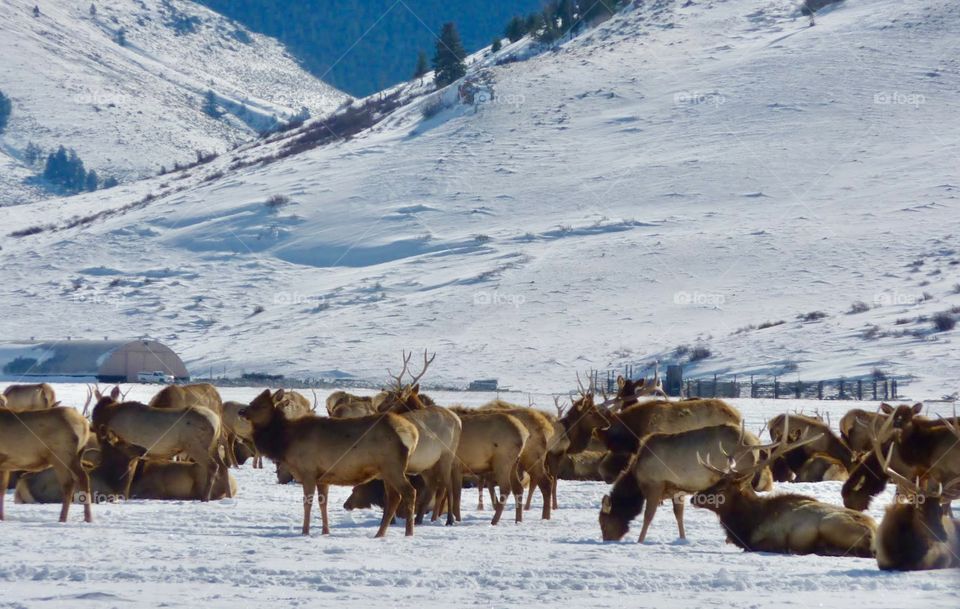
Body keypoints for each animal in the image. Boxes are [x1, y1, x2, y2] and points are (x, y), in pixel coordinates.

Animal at [91, 386, 229, 501]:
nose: (92, 426)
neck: (108, 416)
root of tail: (217, 421)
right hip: (213, 446)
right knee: (223, 467)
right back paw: (227, 494)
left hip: (196, 446)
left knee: (213, 466)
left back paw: (205, 497)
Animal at [240, 388, 420, 537]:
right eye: (253, 400)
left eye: (261, 405)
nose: (241, 411)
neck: (285, 442)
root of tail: (413, 433)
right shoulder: (322, 477)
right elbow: (323, 503)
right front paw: (325, 531)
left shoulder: (308, 472)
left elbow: (307, 503)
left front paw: (304, 531)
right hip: (386, 471)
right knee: (394, 498)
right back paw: (380, 533)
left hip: (393, 467)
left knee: (409, 492)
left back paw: (409, 533)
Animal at [371, 351, 462, 526]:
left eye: (394, 399)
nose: (378, 408)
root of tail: (458, 421)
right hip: (431, 463)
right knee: (437, 486)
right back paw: (421, 518)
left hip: (446, 455)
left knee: (447, 485)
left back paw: (449, 519)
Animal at [599, 421, 781, 543]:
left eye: (603, 523)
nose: (607, 539)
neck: (637, 478)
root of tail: (755, 443)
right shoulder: (676, 489)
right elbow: (678, 514)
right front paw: (682, 538)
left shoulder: (655, 484)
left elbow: (648, 516)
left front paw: (640, 540)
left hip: (739, 472)